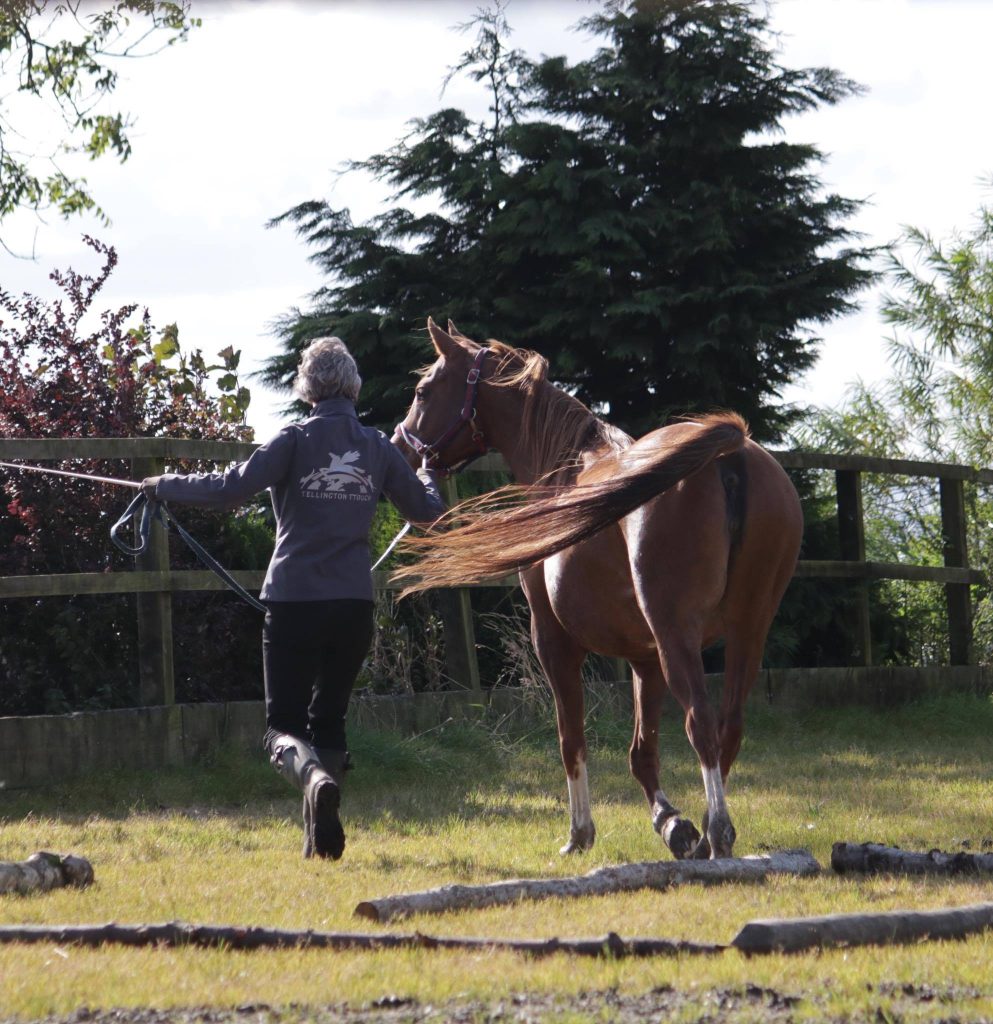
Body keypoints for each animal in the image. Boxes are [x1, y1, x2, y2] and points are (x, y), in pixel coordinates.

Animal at [391, 317, 802, 856]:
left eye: (423, 390)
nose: (399, 448)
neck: (566, 470)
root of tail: (729, 454)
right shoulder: (644, 658)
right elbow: (642, 752)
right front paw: (673, 824)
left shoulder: (554, 641)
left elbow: (572, 738)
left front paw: (580, 834)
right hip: (747, 633)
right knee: (728, 727)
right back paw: (709, 837)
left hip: (679, 637)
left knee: (701, 725)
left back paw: (718, 832)